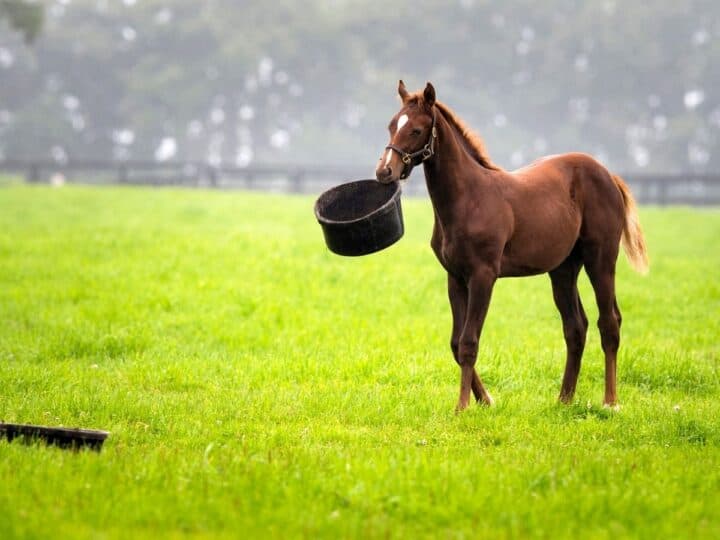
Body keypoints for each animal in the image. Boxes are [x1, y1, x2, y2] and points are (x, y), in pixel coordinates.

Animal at [375, 81, 648, 412]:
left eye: (415, 130)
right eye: (392, 125)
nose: (384, 171)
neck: (468, 198)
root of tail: (608, 174)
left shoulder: (483, 276)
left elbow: (469, 342)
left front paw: (463, 406)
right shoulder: (455, 277)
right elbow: (455, 342)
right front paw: (485, 400)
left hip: (601, 259)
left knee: (609, 323)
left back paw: (610, 401)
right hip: (563, 269)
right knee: (575, 327)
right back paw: (564, 400)